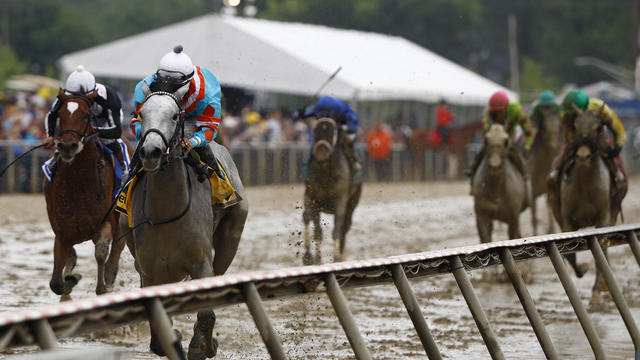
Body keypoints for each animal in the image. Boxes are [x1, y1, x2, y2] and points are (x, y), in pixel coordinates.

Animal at [43, 89, 126, 296]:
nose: (67, 146)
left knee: (117, 248)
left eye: (86, 116)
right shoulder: (62, 232)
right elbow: (56, 283)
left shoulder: (105, 223)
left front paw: (103, 285)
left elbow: (101, 252)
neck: (79, 184)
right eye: (60, 114)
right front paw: (72, 277)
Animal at [124, 83, 248, 358]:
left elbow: (207, 313)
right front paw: (173, 339)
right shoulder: (149, 270)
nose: (150, 152)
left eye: (173, 115)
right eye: (141, 114)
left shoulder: (201, 263)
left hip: (231, 237)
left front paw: (203, 346)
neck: (167, 213)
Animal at [304, 118, 362, 264]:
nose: (321, 151)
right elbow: (315, 228)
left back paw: (340, 257)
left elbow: (337, 231)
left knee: (344, 229)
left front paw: (336, 258)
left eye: (333, 131)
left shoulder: (341, 201)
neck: (326, 174)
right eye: (315, 130)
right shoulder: (312, 198)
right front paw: (312, 258)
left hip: (352, 205)